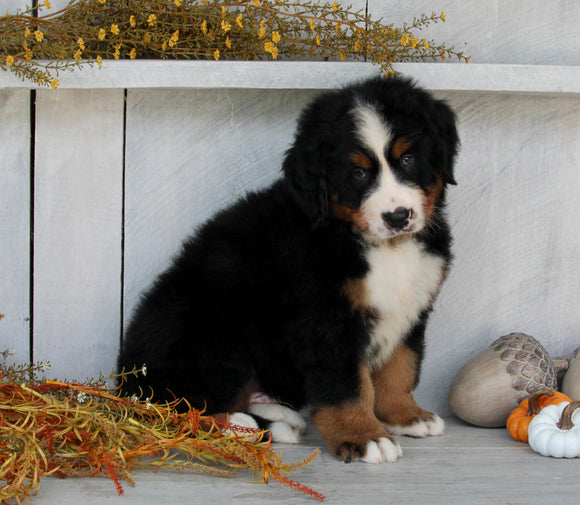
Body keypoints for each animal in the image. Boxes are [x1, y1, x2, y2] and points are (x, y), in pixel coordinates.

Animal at [118, 76, 460, 464]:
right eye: (358, 173)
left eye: (408, 158)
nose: (398, 216)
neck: (379, 245)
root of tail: (125, 381)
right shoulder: (325, 321)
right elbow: (347, 386)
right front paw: (364, 435)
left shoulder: (411, 308)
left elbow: (400, 367)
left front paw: (406, 415)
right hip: (214, 328)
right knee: (175, 410)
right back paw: (244, 426)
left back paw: (277, 416)